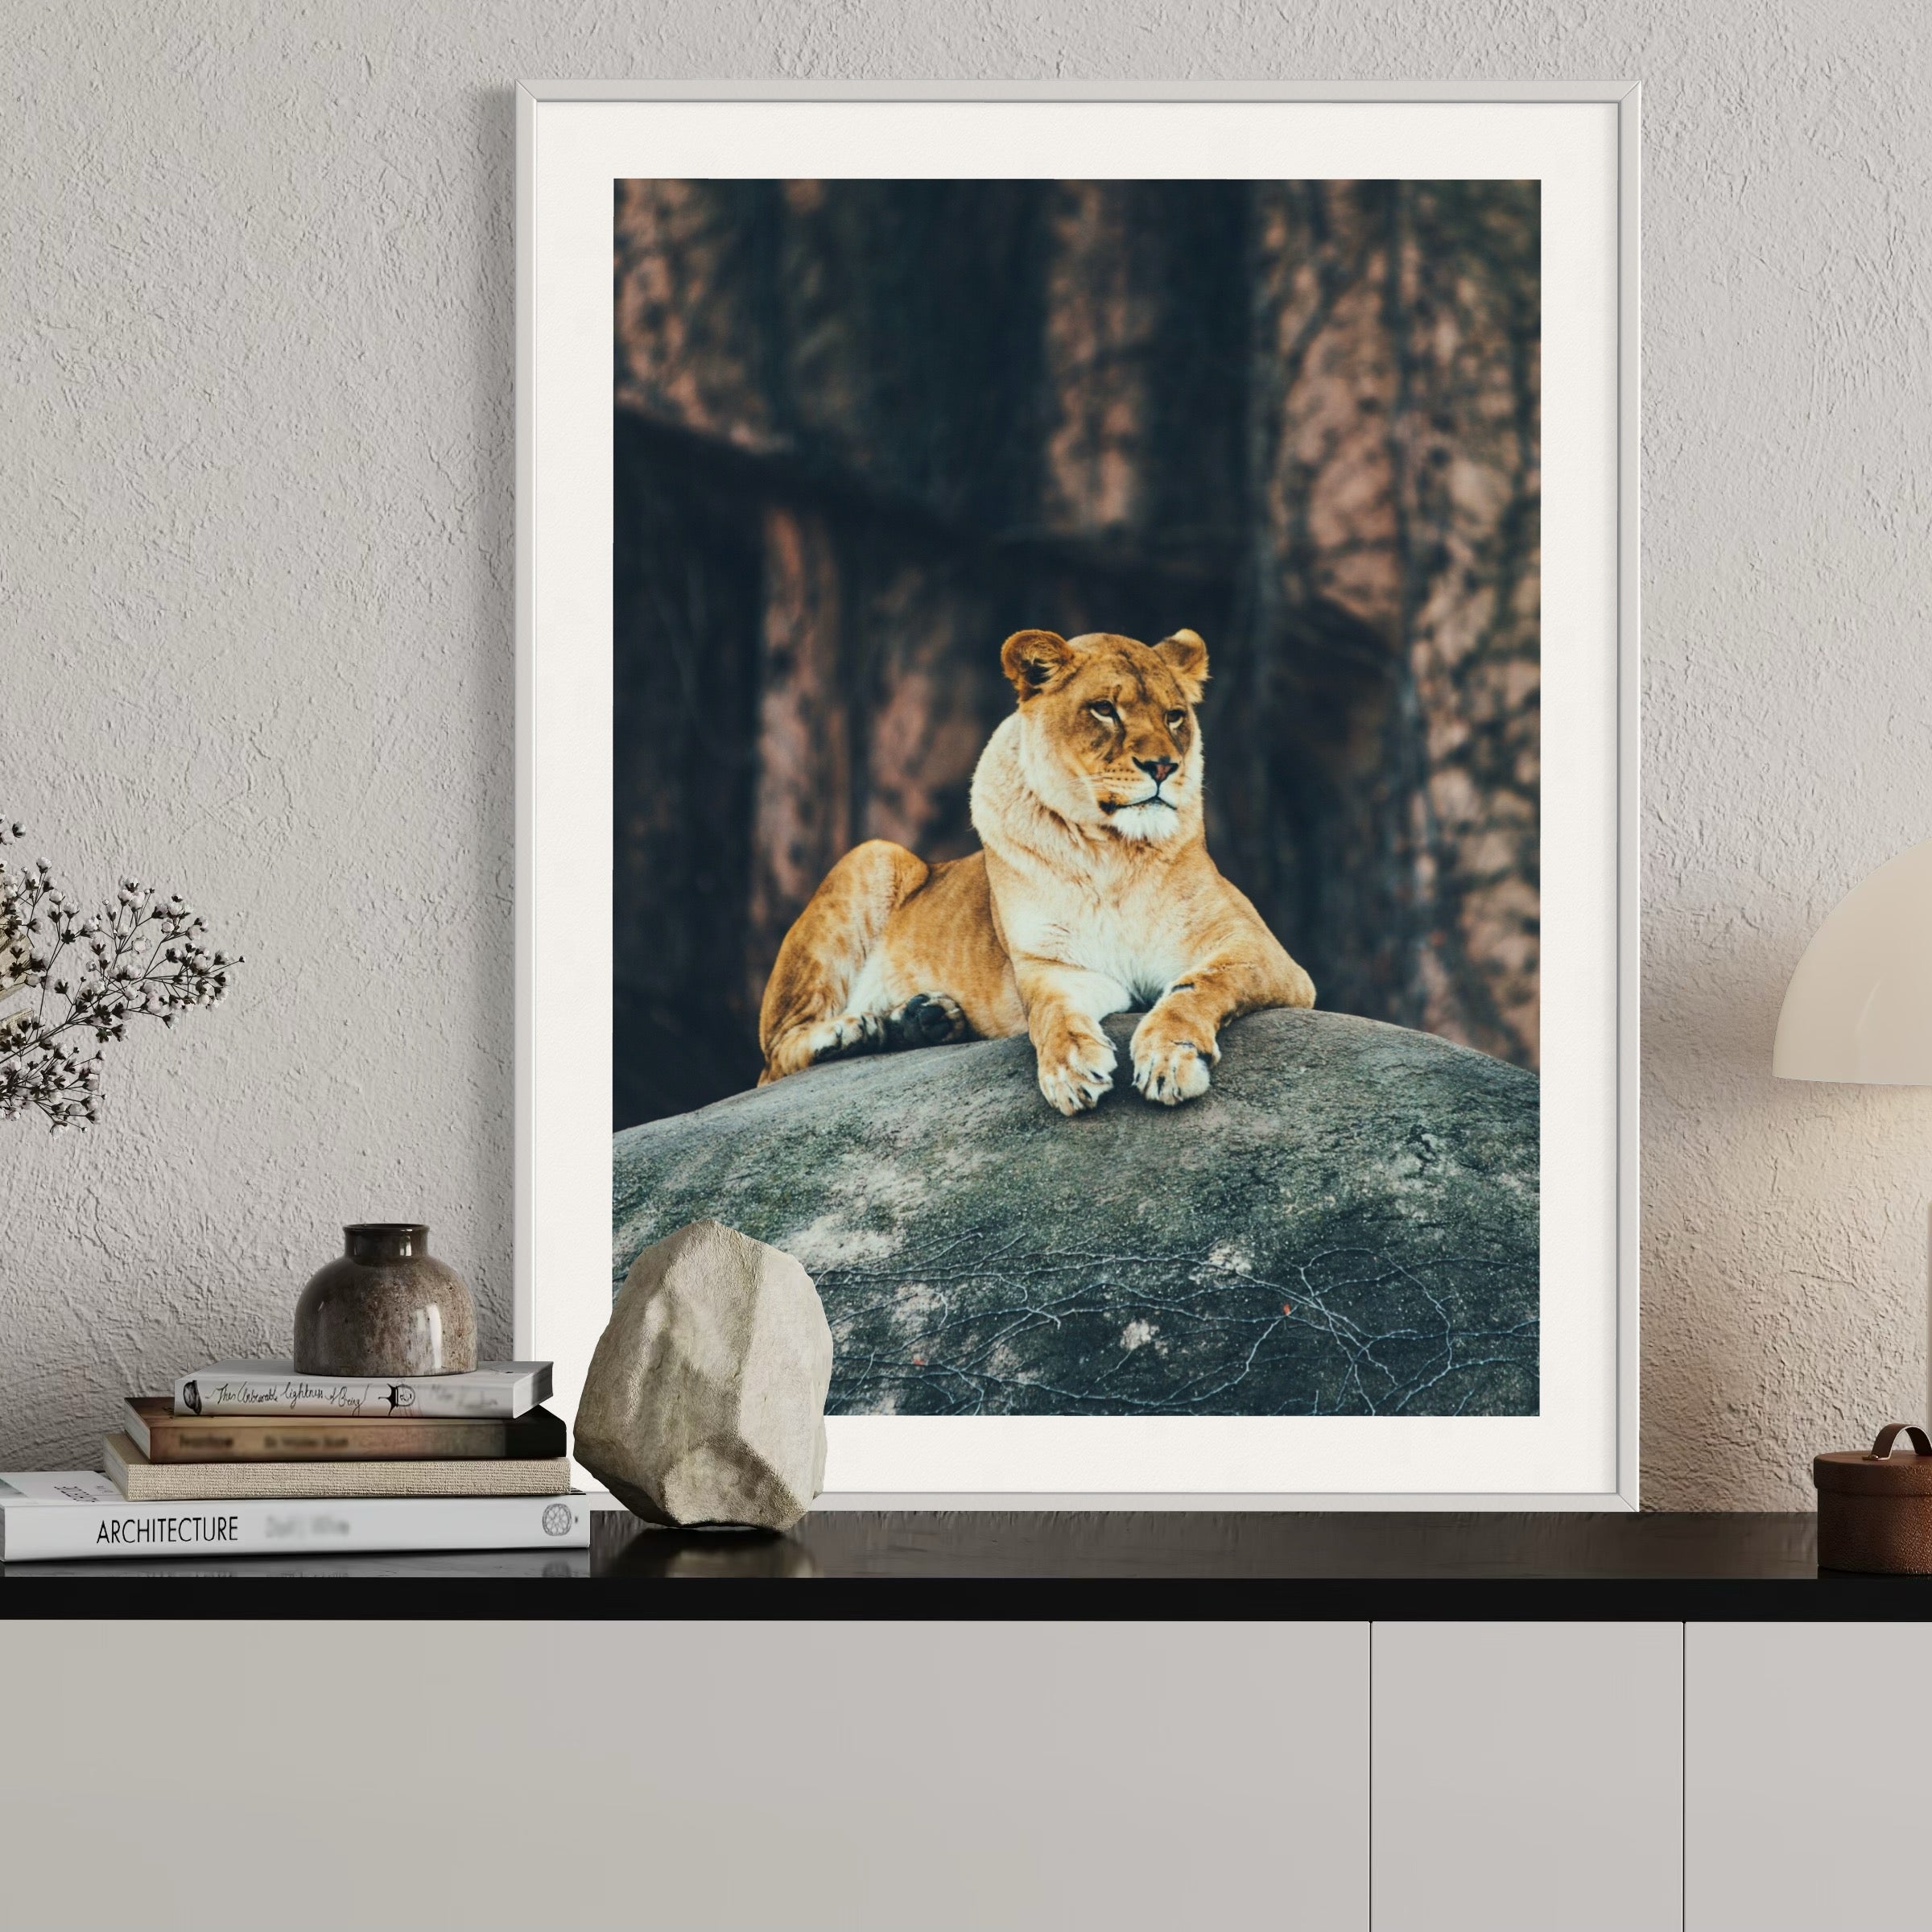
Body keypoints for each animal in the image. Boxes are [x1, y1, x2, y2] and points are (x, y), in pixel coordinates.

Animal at [757, 626, 1315, 1114]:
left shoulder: (1261, 951)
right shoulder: (1050, 963)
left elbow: (1199, 987)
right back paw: (854, 1030)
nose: (1163, 767)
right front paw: (1070, 1070)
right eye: (1105, 709)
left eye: (1175, 716)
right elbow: (1052, 1013)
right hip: (872, 854)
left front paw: (1169, 1057)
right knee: (776, 1058)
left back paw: (921, 1020)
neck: (1113, 853)